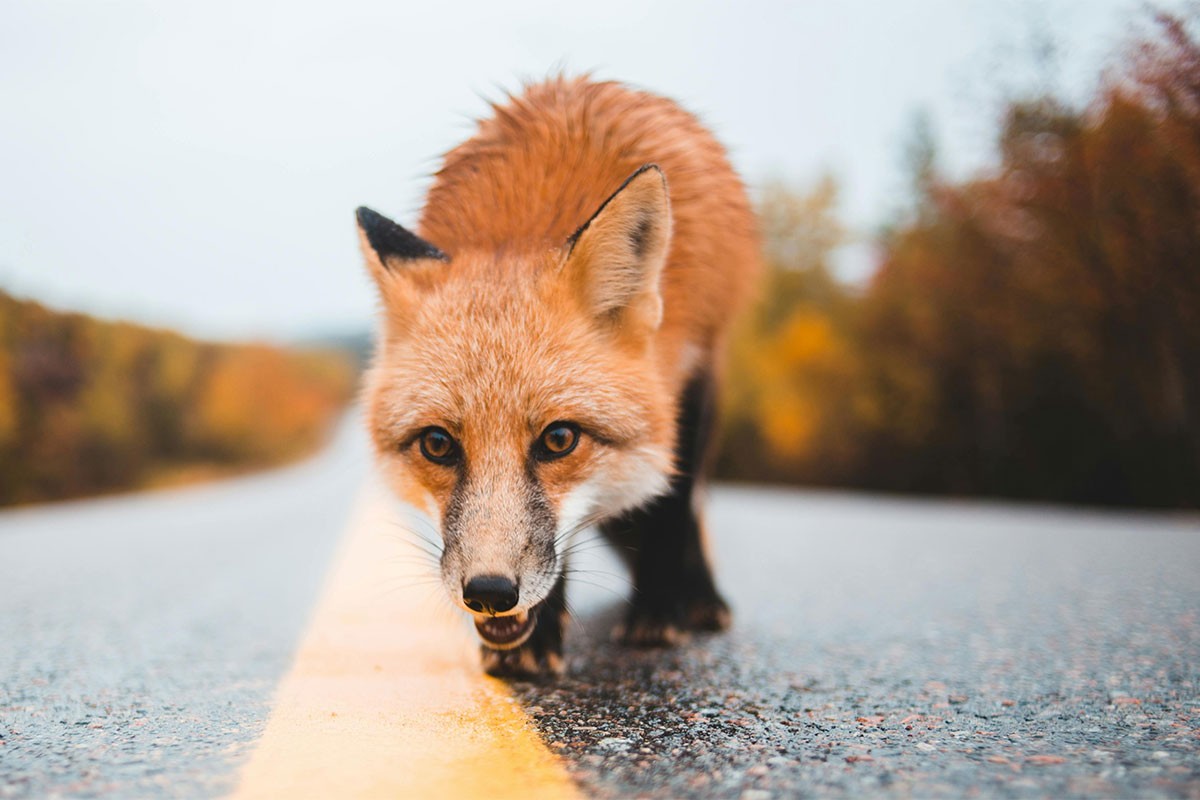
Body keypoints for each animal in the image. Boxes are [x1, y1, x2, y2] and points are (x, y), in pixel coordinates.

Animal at [355, 74, 758, 681]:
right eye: (437, 444)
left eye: (560, 439)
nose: (490, 593)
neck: (519, 225)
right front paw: (536, 640)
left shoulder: (690, 376)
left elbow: (670, 508)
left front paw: (658, 613)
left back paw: (699, 599)